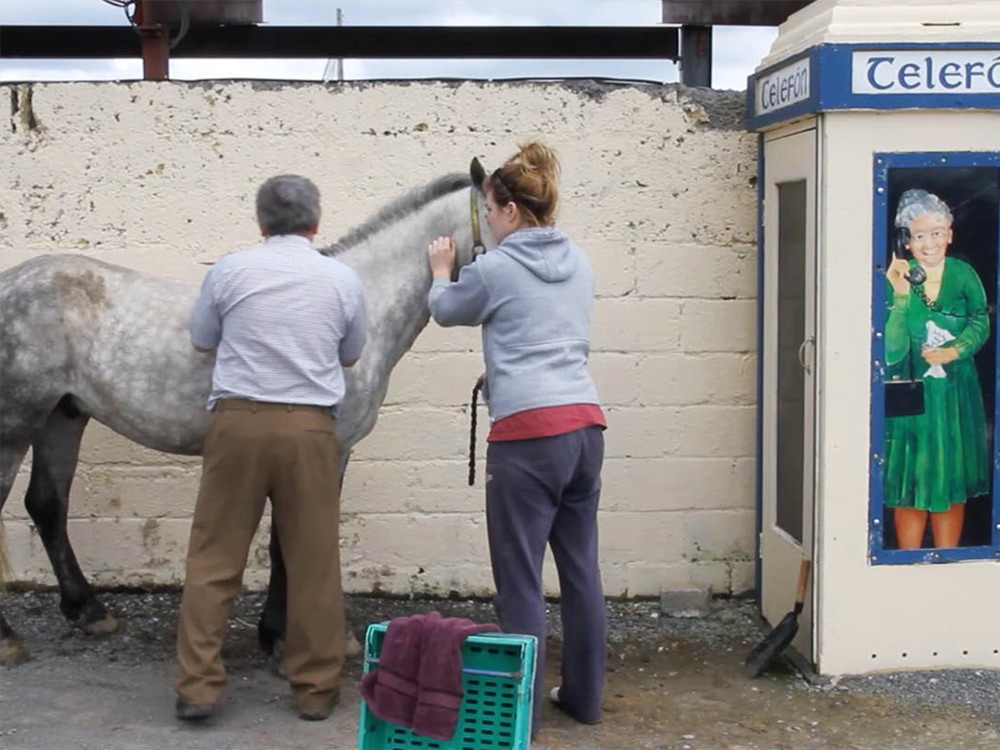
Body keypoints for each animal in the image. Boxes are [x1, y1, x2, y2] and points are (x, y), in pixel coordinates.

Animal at [0, 162, 496, 668]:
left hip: (63, 417)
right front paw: (283, 636)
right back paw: (9, 639)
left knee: (47, 504)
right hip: (15, 425)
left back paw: (89, 611)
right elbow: (288, 539)